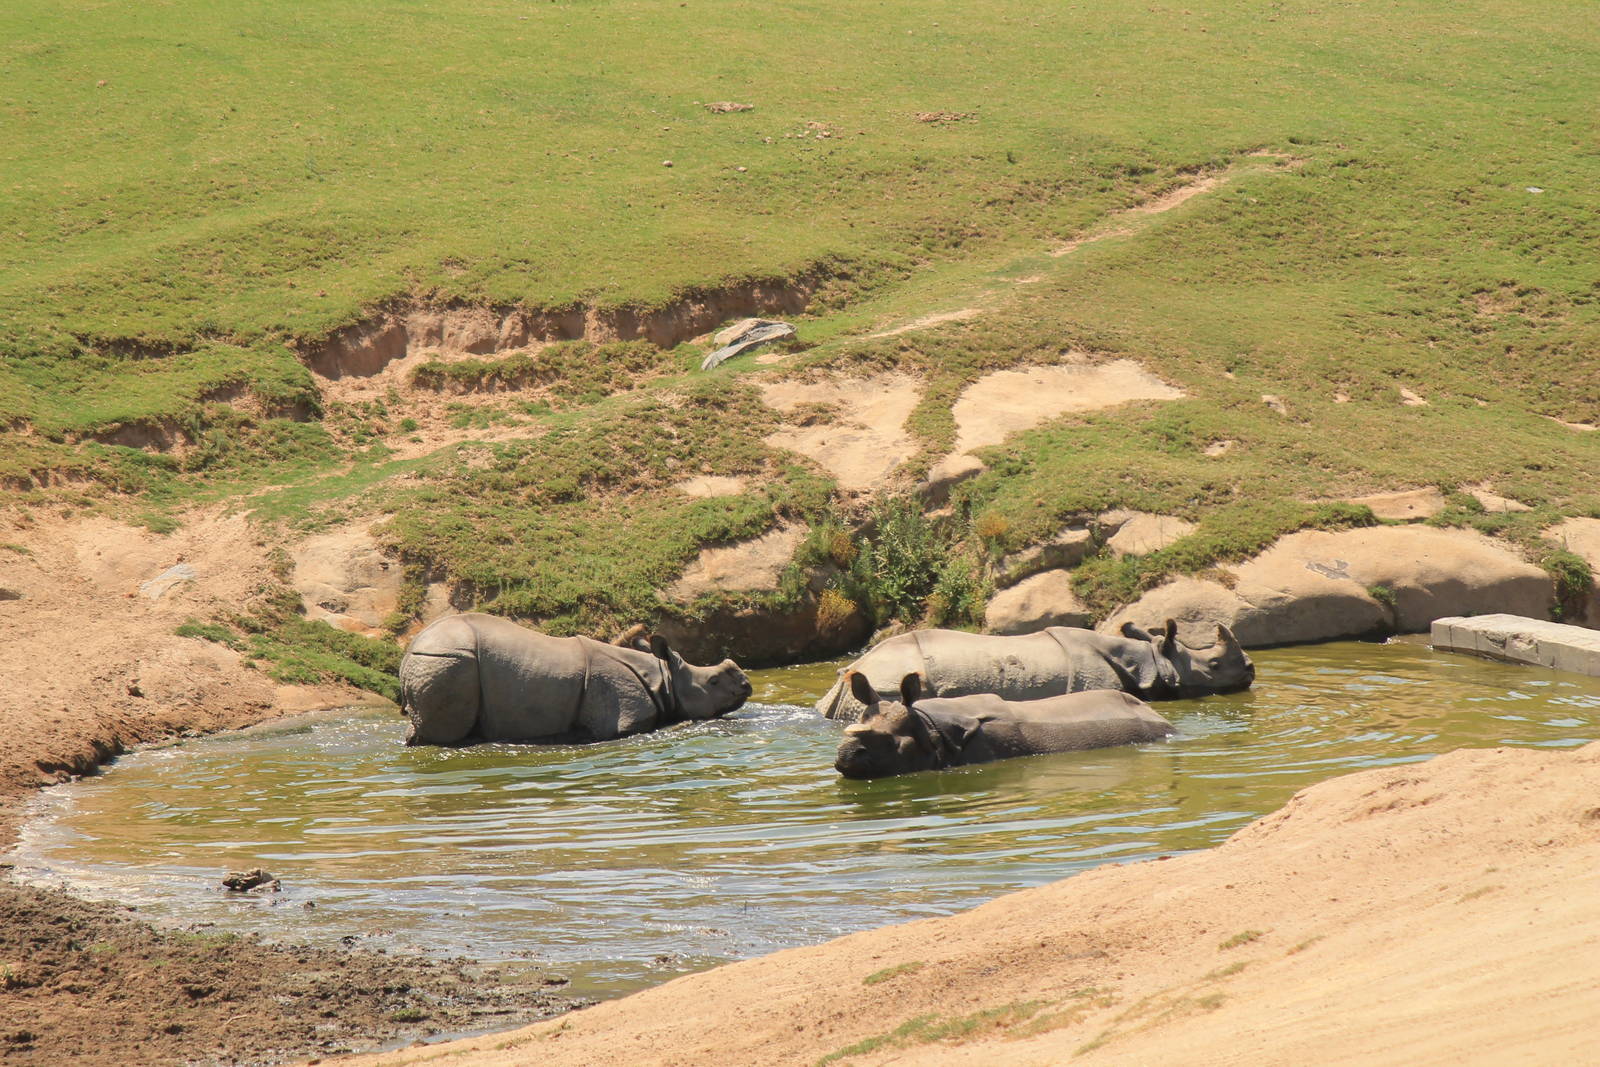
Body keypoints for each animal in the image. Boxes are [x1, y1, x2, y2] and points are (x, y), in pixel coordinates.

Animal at [399, 613, 752, 746]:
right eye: (713, 682)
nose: (747, 686)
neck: (664, 677)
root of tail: (410, 651)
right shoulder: (623, 715)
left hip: (439, 661)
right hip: (448, 661)